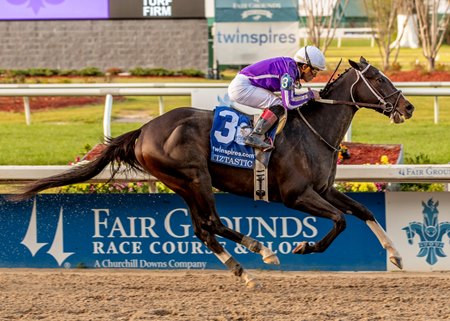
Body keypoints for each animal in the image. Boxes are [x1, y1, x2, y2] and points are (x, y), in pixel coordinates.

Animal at [12, 57, 414, 288]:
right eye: (379, 79)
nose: (408, 107)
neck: (314, 131)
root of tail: (144, 129)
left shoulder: (325, 189)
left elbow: (362, 211)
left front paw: (395, 256)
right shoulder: (297, 195)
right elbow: (340, 222)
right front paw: (304, 245)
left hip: (183, 184)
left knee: (202, 229)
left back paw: (243, 270)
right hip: (194, 178)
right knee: (212, 223)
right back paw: (262, 252)